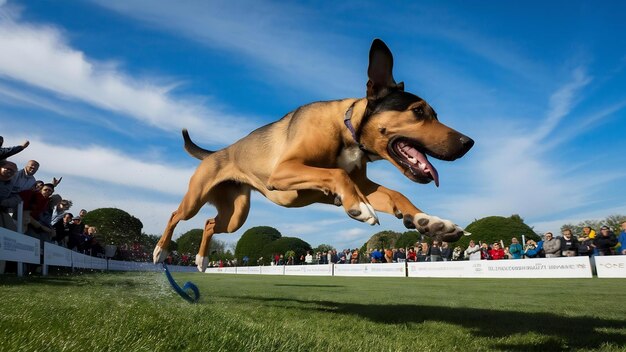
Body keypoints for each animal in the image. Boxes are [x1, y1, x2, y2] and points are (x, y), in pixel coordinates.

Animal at [154, 38, 470, 270]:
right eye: (418, 111)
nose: (468, 142)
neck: (347, 130)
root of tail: (216, 152)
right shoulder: (284, 171)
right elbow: (338, 173)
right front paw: (359, 207)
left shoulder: (363, 185)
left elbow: (396, 194)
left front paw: (431, 222)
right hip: (196, 198)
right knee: (175, 214)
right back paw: (160, 251)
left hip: (236, 215)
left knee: (209, 223)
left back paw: (201, 259)